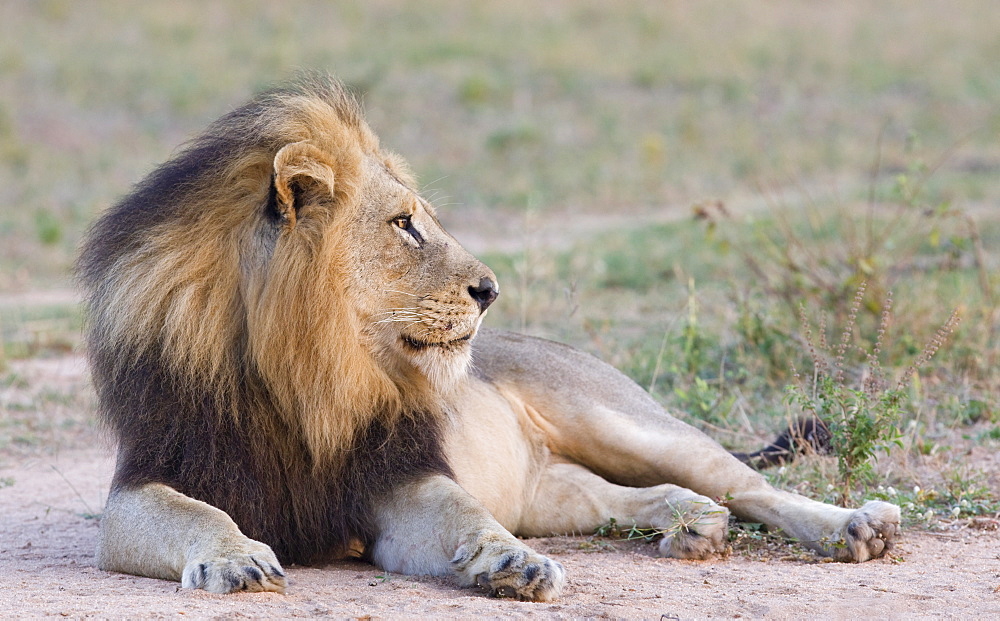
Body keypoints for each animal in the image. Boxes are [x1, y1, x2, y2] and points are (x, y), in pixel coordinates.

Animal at [80, 75, 900, 600]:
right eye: (405, 224)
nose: (490, 289)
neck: (306, 373)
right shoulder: (141, 484)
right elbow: (198, 512)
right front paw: (236, 559)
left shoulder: (395, 476)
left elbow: (461, 512)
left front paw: (512, 564)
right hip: (552, 491)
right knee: (652, 495)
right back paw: (694, 528)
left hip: (621, 420)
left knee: (747, 483)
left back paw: (856, 527)